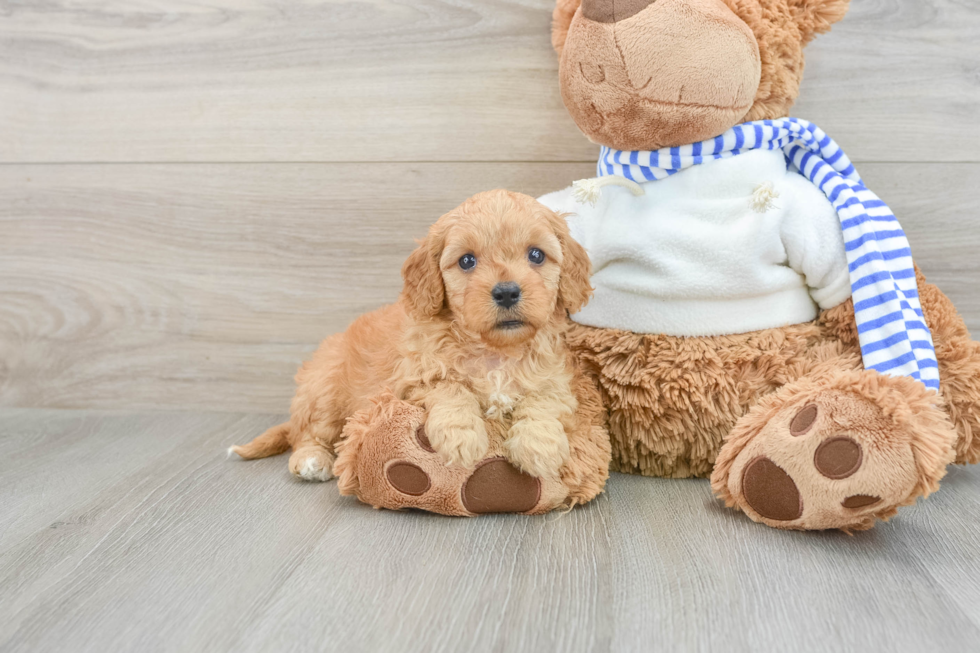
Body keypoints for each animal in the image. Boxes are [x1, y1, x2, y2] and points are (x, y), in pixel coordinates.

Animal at [234, 188, 592, 478]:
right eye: (466, 261)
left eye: (536, 255)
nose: (506, 292)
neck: (495, 352)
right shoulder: (413, 380)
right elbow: (450, 387)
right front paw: (461, 437)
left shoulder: (556, 380)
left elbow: (543, 401)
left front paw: (538, 448)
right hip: (324, 390)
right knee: (308, 434)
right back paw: (311, 461)